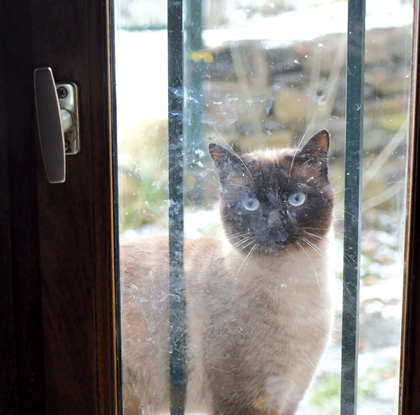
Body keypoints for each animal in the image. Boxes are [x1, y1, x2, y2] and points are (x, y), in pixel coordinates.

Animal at [120, 128, 334, 414]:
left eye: (296, 200)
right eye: (251, 203)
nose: (276, 227)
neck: (294, 288)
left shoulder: (291, 395)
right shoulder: (245, 401)